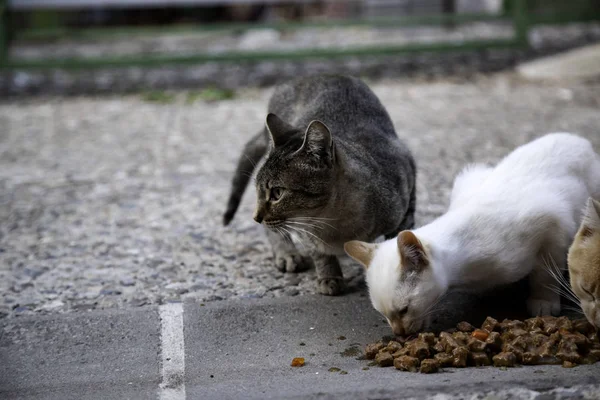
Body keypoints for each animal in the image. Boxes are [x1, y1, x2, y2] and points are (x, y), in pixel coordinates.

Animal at [344, 134, 600, 334]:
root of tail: (577, 139)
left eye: (403, 310)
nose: (399, 334)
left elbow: (545, 274)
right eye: (383, 314)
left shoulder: (554, 225)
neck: (467, 273)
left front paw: (543, 301)